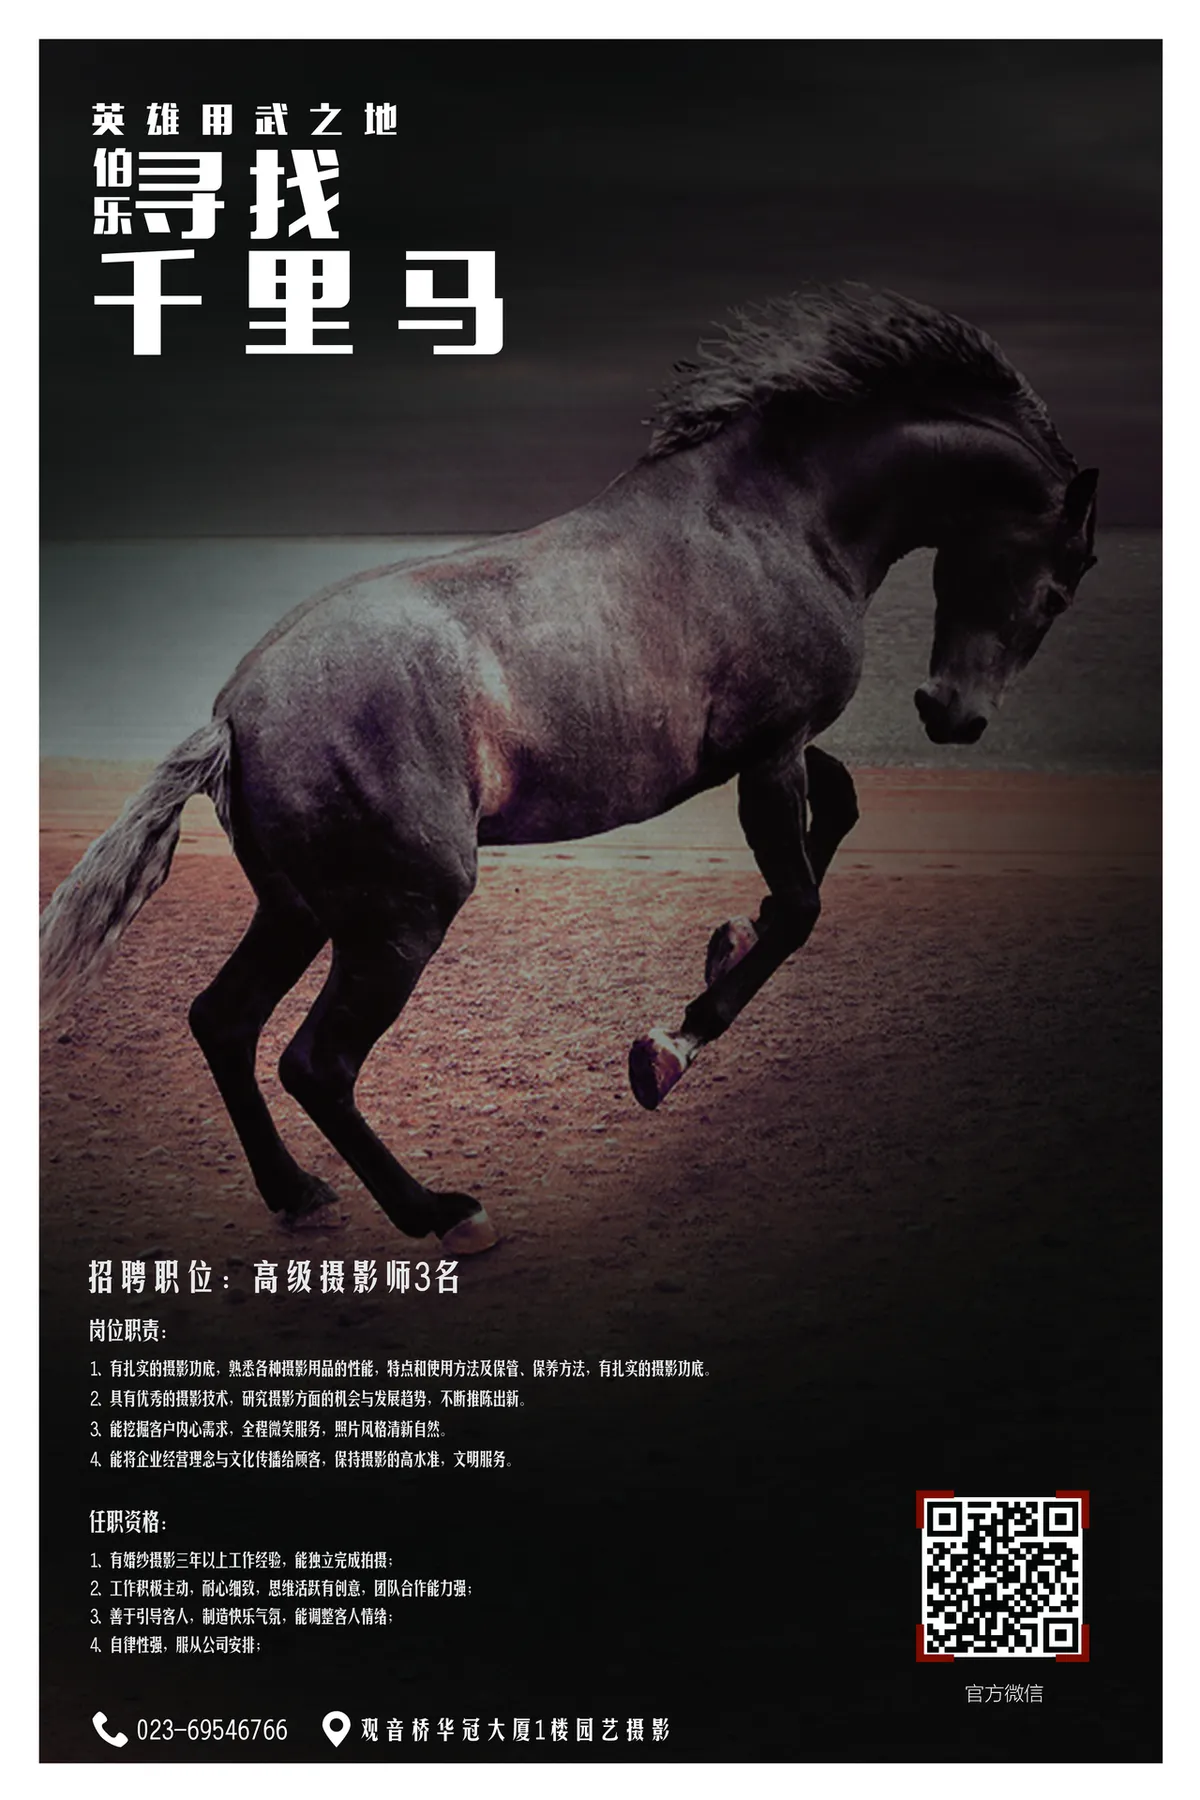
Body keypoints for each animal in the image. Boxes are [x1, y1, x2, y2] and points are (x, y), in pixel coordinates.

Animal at [40, 285, 1099, 1256]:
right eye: (1056, 590)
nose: (954, 715)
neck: (786, 518)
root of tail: (233, 716)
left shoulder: (776, 749)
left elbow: (835, 813)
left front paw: (726, 940)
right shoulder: (769, 755)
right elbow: (800, 906)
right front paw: (669, 1049)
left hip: (298, 912)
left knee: (223, 1022)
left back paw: (298, 1194)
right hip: (399, 917)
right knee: (316, 1063)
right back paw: (441, 1213)